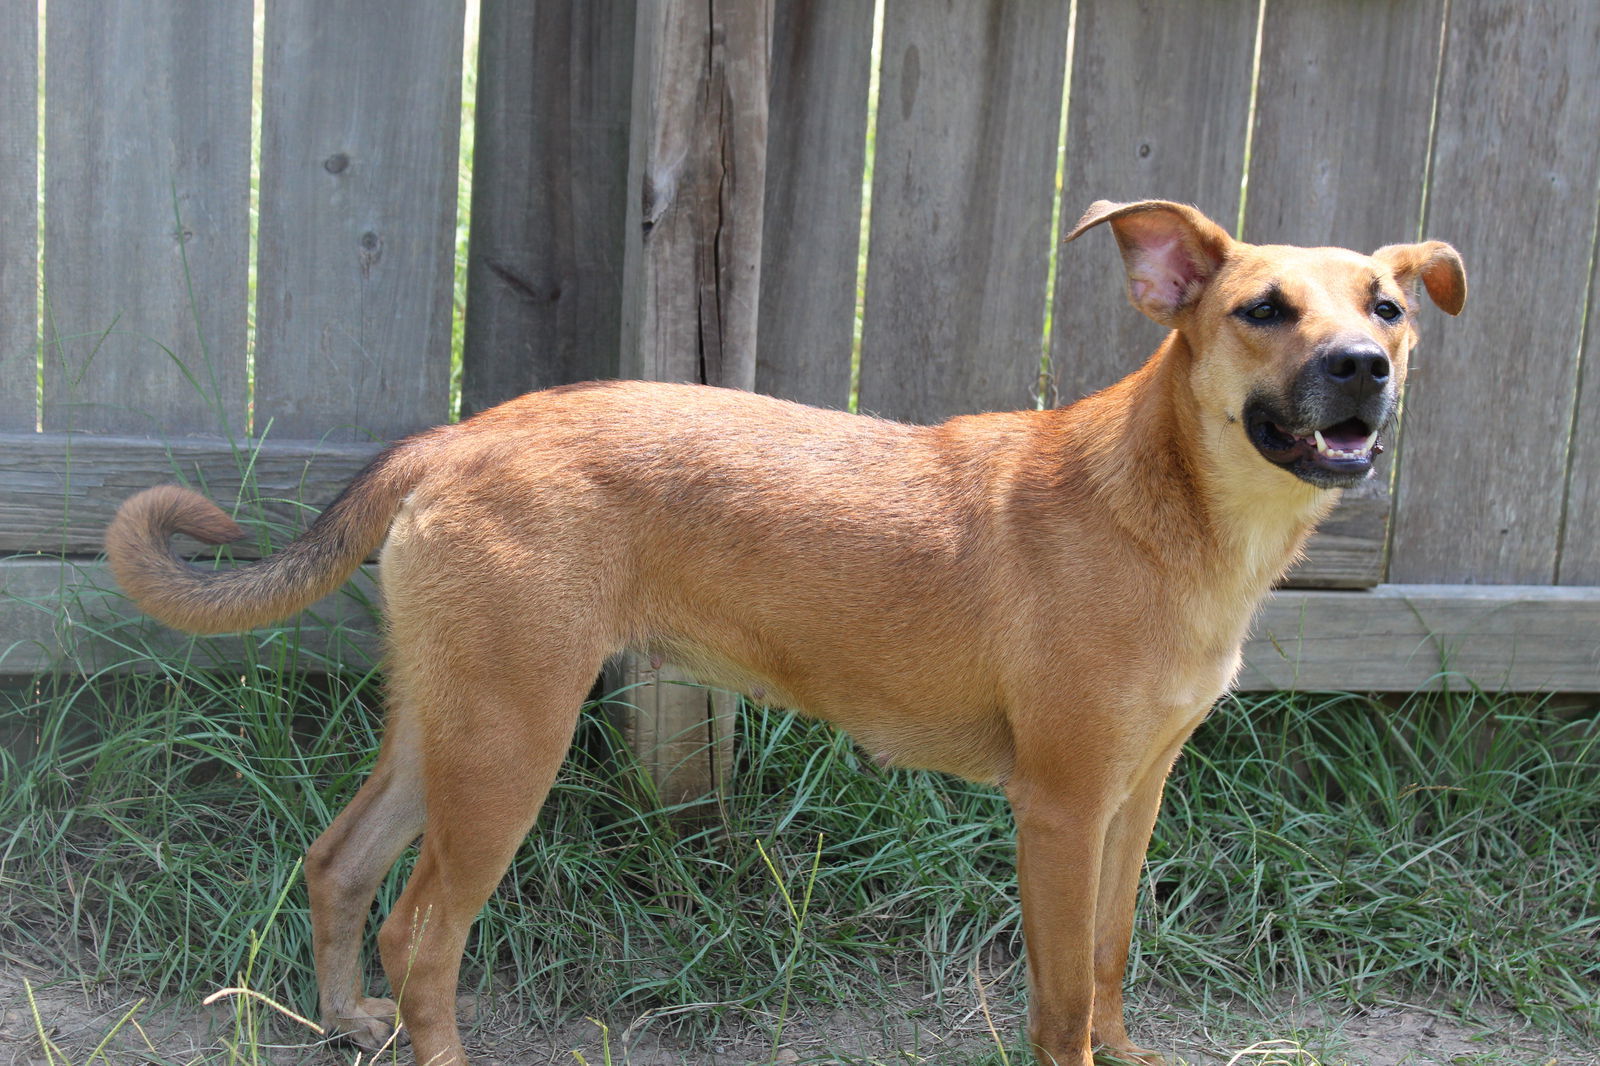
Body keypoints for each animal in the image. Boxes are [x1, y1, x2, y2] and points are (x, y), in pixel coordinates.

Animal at [103, 201, 1465, 1062]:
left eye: (1386, 307)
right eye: (1262, 309)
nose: (1361, 365)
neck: (1169, 508)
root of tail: (459, 438)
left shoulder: (1136, 797)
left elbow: (1113, 965)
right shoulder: (1062, 810)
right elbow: (1062, 1000)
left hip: (446, 727)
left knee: (339, 867)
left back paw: (344, 1019)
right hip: (508, 746)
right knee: (420, 934)